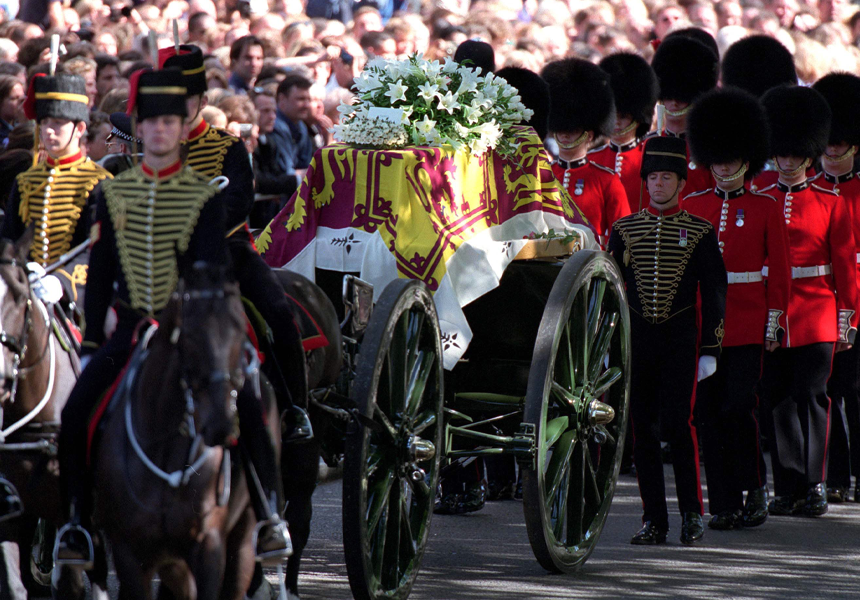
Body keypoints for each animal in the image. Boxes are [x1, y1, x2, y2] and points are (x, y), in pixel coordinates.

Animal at [88, 266, 276, 600]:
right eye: (188, 337)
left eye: (239, 332)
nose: (222, 423)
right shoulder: (130, 553)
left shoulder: (209, 545)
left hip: (242, 539)